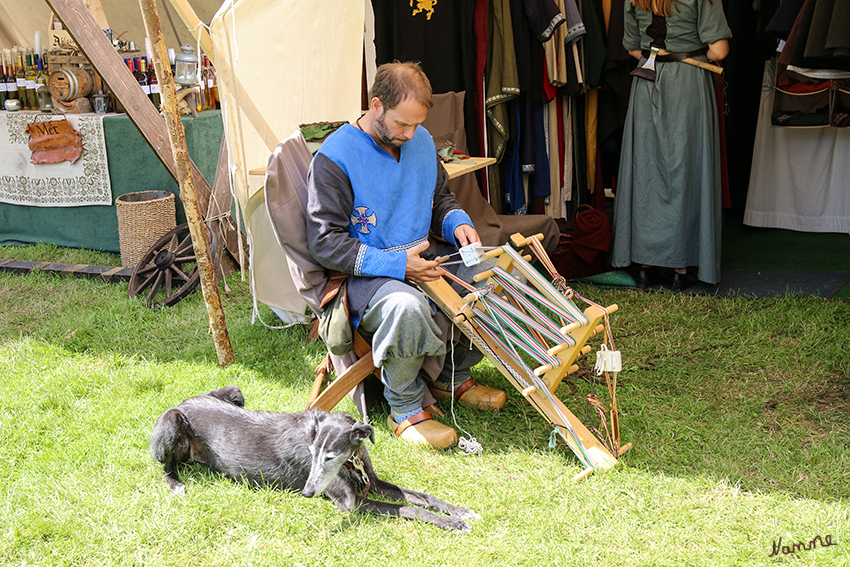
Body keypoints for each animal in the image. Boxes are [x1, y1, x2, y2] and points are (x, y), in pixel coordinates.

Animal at [147, 386, 476, 532]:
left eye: (329, 456)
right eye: (312, 453)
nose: (306, 493)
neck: (351, 461)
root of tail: (184, 402)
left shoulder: (372, 481)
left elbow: (421, 497)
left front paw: (460, 511)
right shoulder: (350, 503)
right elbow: (409, 508)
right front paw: (452, 523)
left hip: (235, 391)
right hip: (173, 422)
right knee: (165, 466)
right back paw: (176, 484)